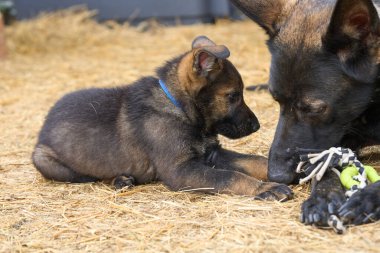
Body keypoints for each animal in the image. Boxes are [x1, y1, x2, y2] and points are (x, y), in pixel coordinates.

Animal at [32, 36, 294, 202]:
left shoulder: (212, 153)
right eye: (233, 96)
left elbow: (252, 161)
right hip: (45, 161)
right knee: (90, 176)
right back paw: (120, 179)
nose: (257, 125)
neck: (179, 108)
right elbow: (230, 176)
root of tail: (46, 122)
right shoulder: (181, 170)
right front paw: (265, 188)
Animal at [230, 0, 380, 225]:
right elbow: (323, 161)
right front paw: (322, 195)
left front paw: (367, 198)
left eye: (314, 109)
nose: (276, 176)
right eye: (276, 100)